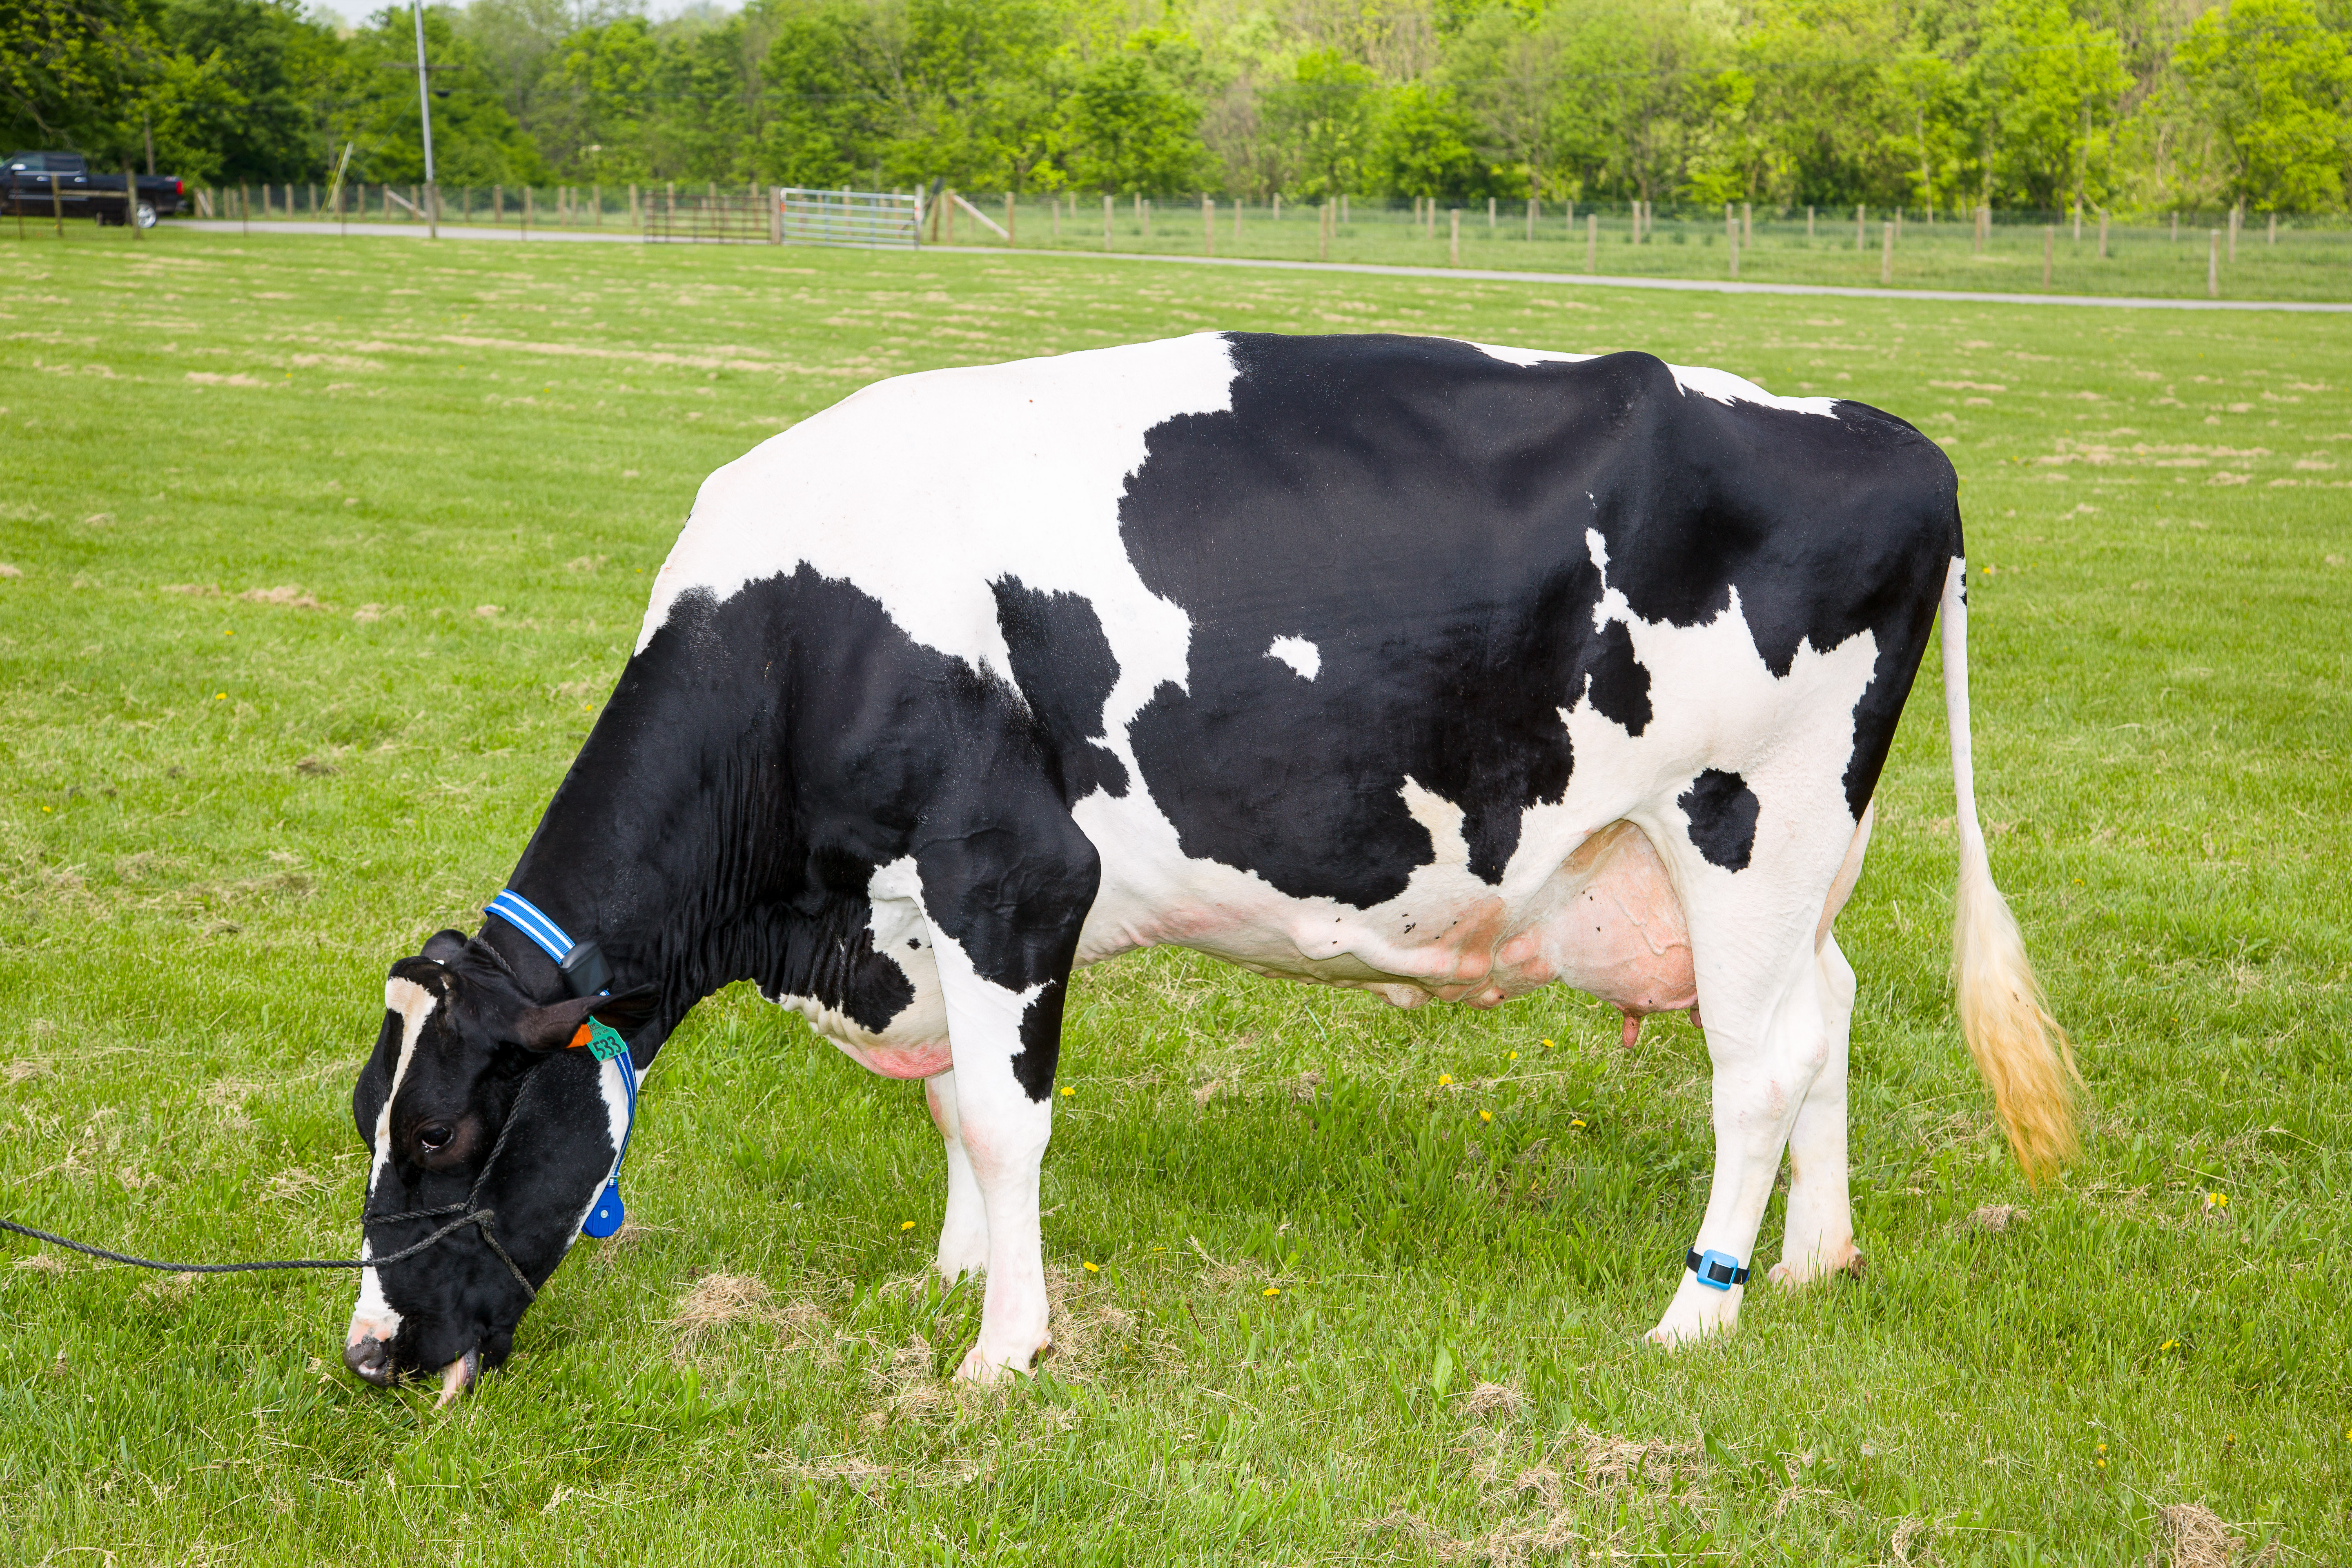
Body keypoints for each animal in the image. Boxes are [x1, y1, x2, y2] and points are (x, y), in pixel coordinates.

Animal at [341, 331, 2069, 1401]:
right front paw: (950, 1279)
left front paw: (1003, 1349)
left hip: (1748, 821)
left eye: (438, 1137)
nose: (367, 1357)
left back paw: (1696, 1311)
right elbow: (958, 1114)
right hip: (1775, 862)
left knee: (1757, 1068)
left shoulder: (1008, 876)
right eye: (370, 1120)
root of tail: (1891, 440)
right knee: (1826, 1014)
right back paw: (1813, 1262)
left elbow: (1005, 1123)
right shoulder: (917, 916)